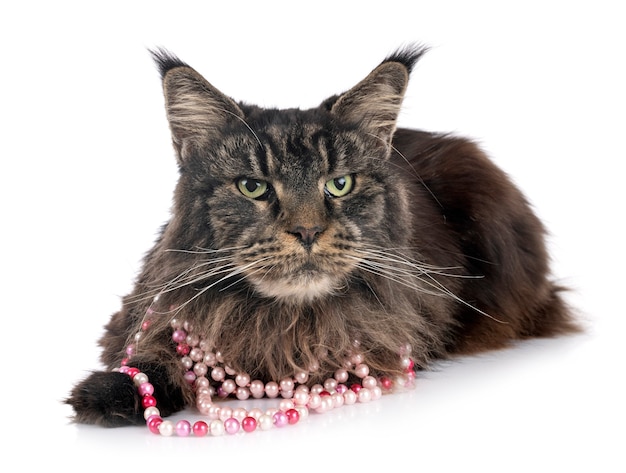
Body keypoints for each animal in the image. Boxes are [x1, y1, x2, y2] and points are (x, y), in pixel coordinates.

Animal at [67, 46, 576, 426]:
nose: (308, 229)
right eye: (253, 187)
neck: (279, 320)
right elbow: (152, 358)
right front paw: (108, 392)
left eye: (339, 184)